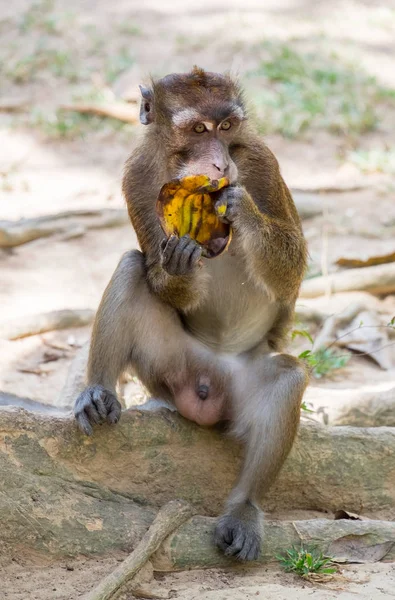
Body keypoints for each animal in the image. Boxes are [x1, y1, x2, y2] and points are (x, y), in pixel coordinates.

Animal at [74, 67, 310, 564]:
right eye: (199, 129)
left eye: (227, 127)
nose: (220, 166)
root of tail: (205, 389)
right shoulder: (138, 174)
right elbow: (154, 267)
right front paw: (179, 262)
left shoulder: (261, 162)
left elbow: (291, 273)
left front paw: (244, 211)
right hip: (167, 367)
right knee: (130, 268)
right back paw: (98, 392)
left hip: (238, 388)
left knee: (285, 379)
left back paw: (243, 510)